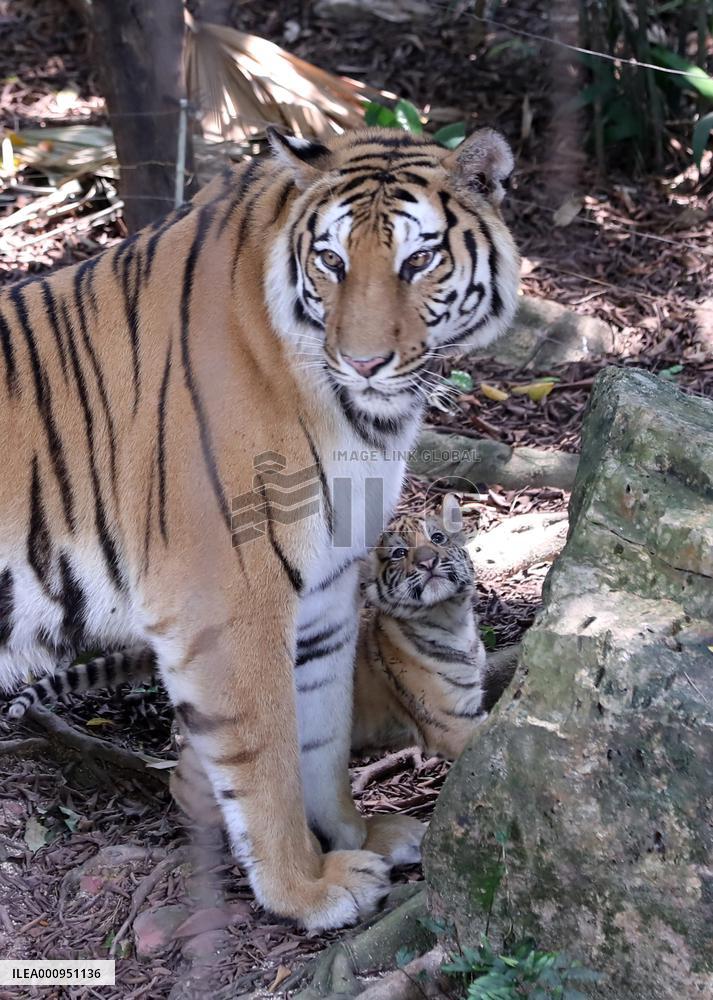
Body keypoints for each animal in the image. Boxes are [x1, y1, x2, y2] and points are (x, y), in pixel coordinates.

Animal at [0, 125, 519, 930]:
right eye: (332, 262)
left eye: (418, 260)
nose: (363, 362)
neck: (362, 422)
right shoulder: (227, 598)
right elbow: (265, 754)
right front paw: (306, 888)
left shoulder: (328, 590)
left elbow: (321, 734)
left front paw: (356, 834)